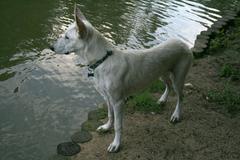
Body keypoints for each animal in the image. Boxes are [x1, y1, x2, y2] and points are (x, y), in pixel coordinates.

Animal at [52, 5, 193, 152]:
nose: (51, 47)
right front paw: (106, 127)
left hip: (178, 78)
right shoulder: (107, 97)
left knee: (180, 96)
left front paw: (116, 144)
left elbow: (118, 125)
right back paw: (162, 100)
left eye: (67, 37)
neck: (103, 60)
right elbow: (110, 115)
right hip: (161, 74)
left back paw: (176, 115)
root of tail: (183, 43)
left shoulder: (118, 101)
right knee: (168, 86)